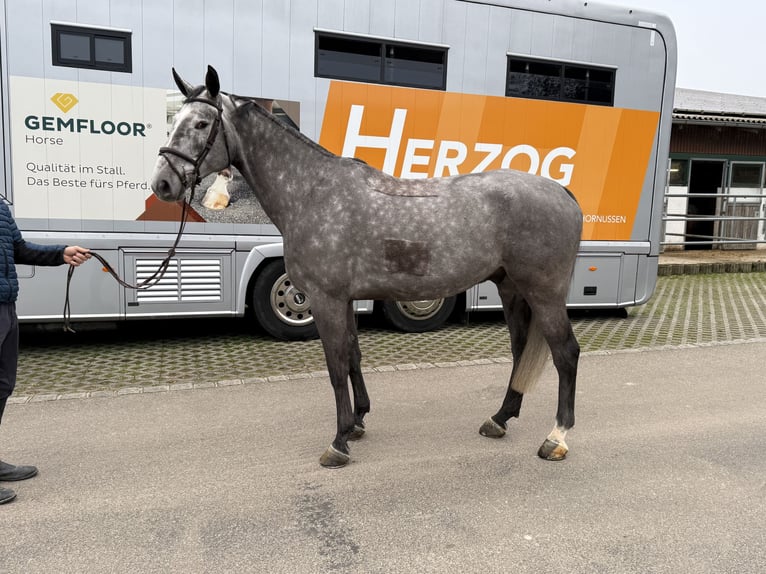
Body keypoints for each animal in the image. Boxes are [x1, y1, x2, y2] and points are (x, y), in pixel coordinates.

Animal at [150, 66, 583, 468]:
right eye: (173, 121)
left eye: (201, 124)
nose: (162, 184)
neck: (312, 192)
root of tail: (564, 193)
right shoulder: (344, 299)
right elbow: (353, 356)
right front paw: (357, 422)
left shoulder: (325, 299)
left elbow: (335, 364)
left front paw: (338, 441)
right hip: (512, 289)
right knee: (521, 350)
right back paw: (500, 418)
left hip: (544, 292)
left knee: (566, 353)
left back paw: (556, 438)